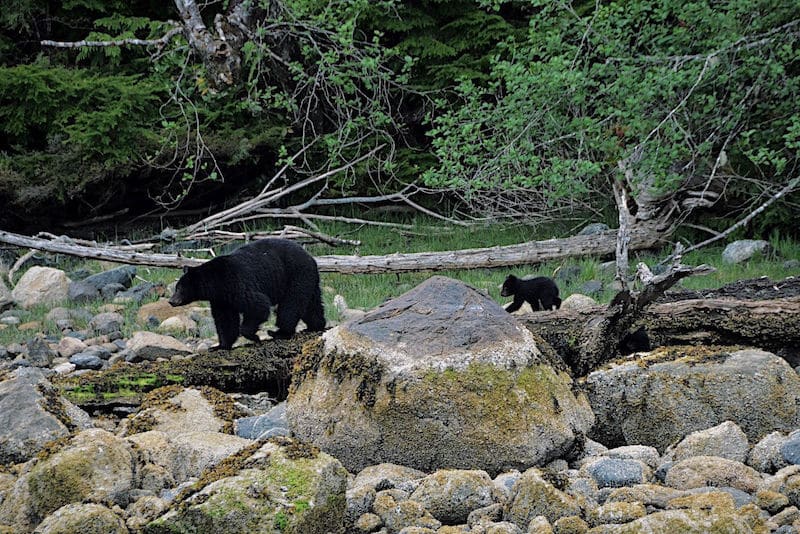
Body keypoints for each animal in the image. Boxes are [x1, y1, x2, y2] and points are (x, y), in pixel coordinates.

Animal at [169, 240, 324, 352]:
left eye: (179, 288)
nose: (171, 301)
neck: (216, 282)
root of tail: (311, 257)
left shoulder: (237, 283)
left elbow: (258, 305)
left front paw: (254, 336)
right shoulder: (221, 299)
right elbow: (225, 320)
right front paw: (220, 346)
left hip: (295, 275)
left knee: (290, 306)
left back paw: (279, 332)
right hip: (308, 279)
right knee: (312, 305)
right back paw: (315, 326)